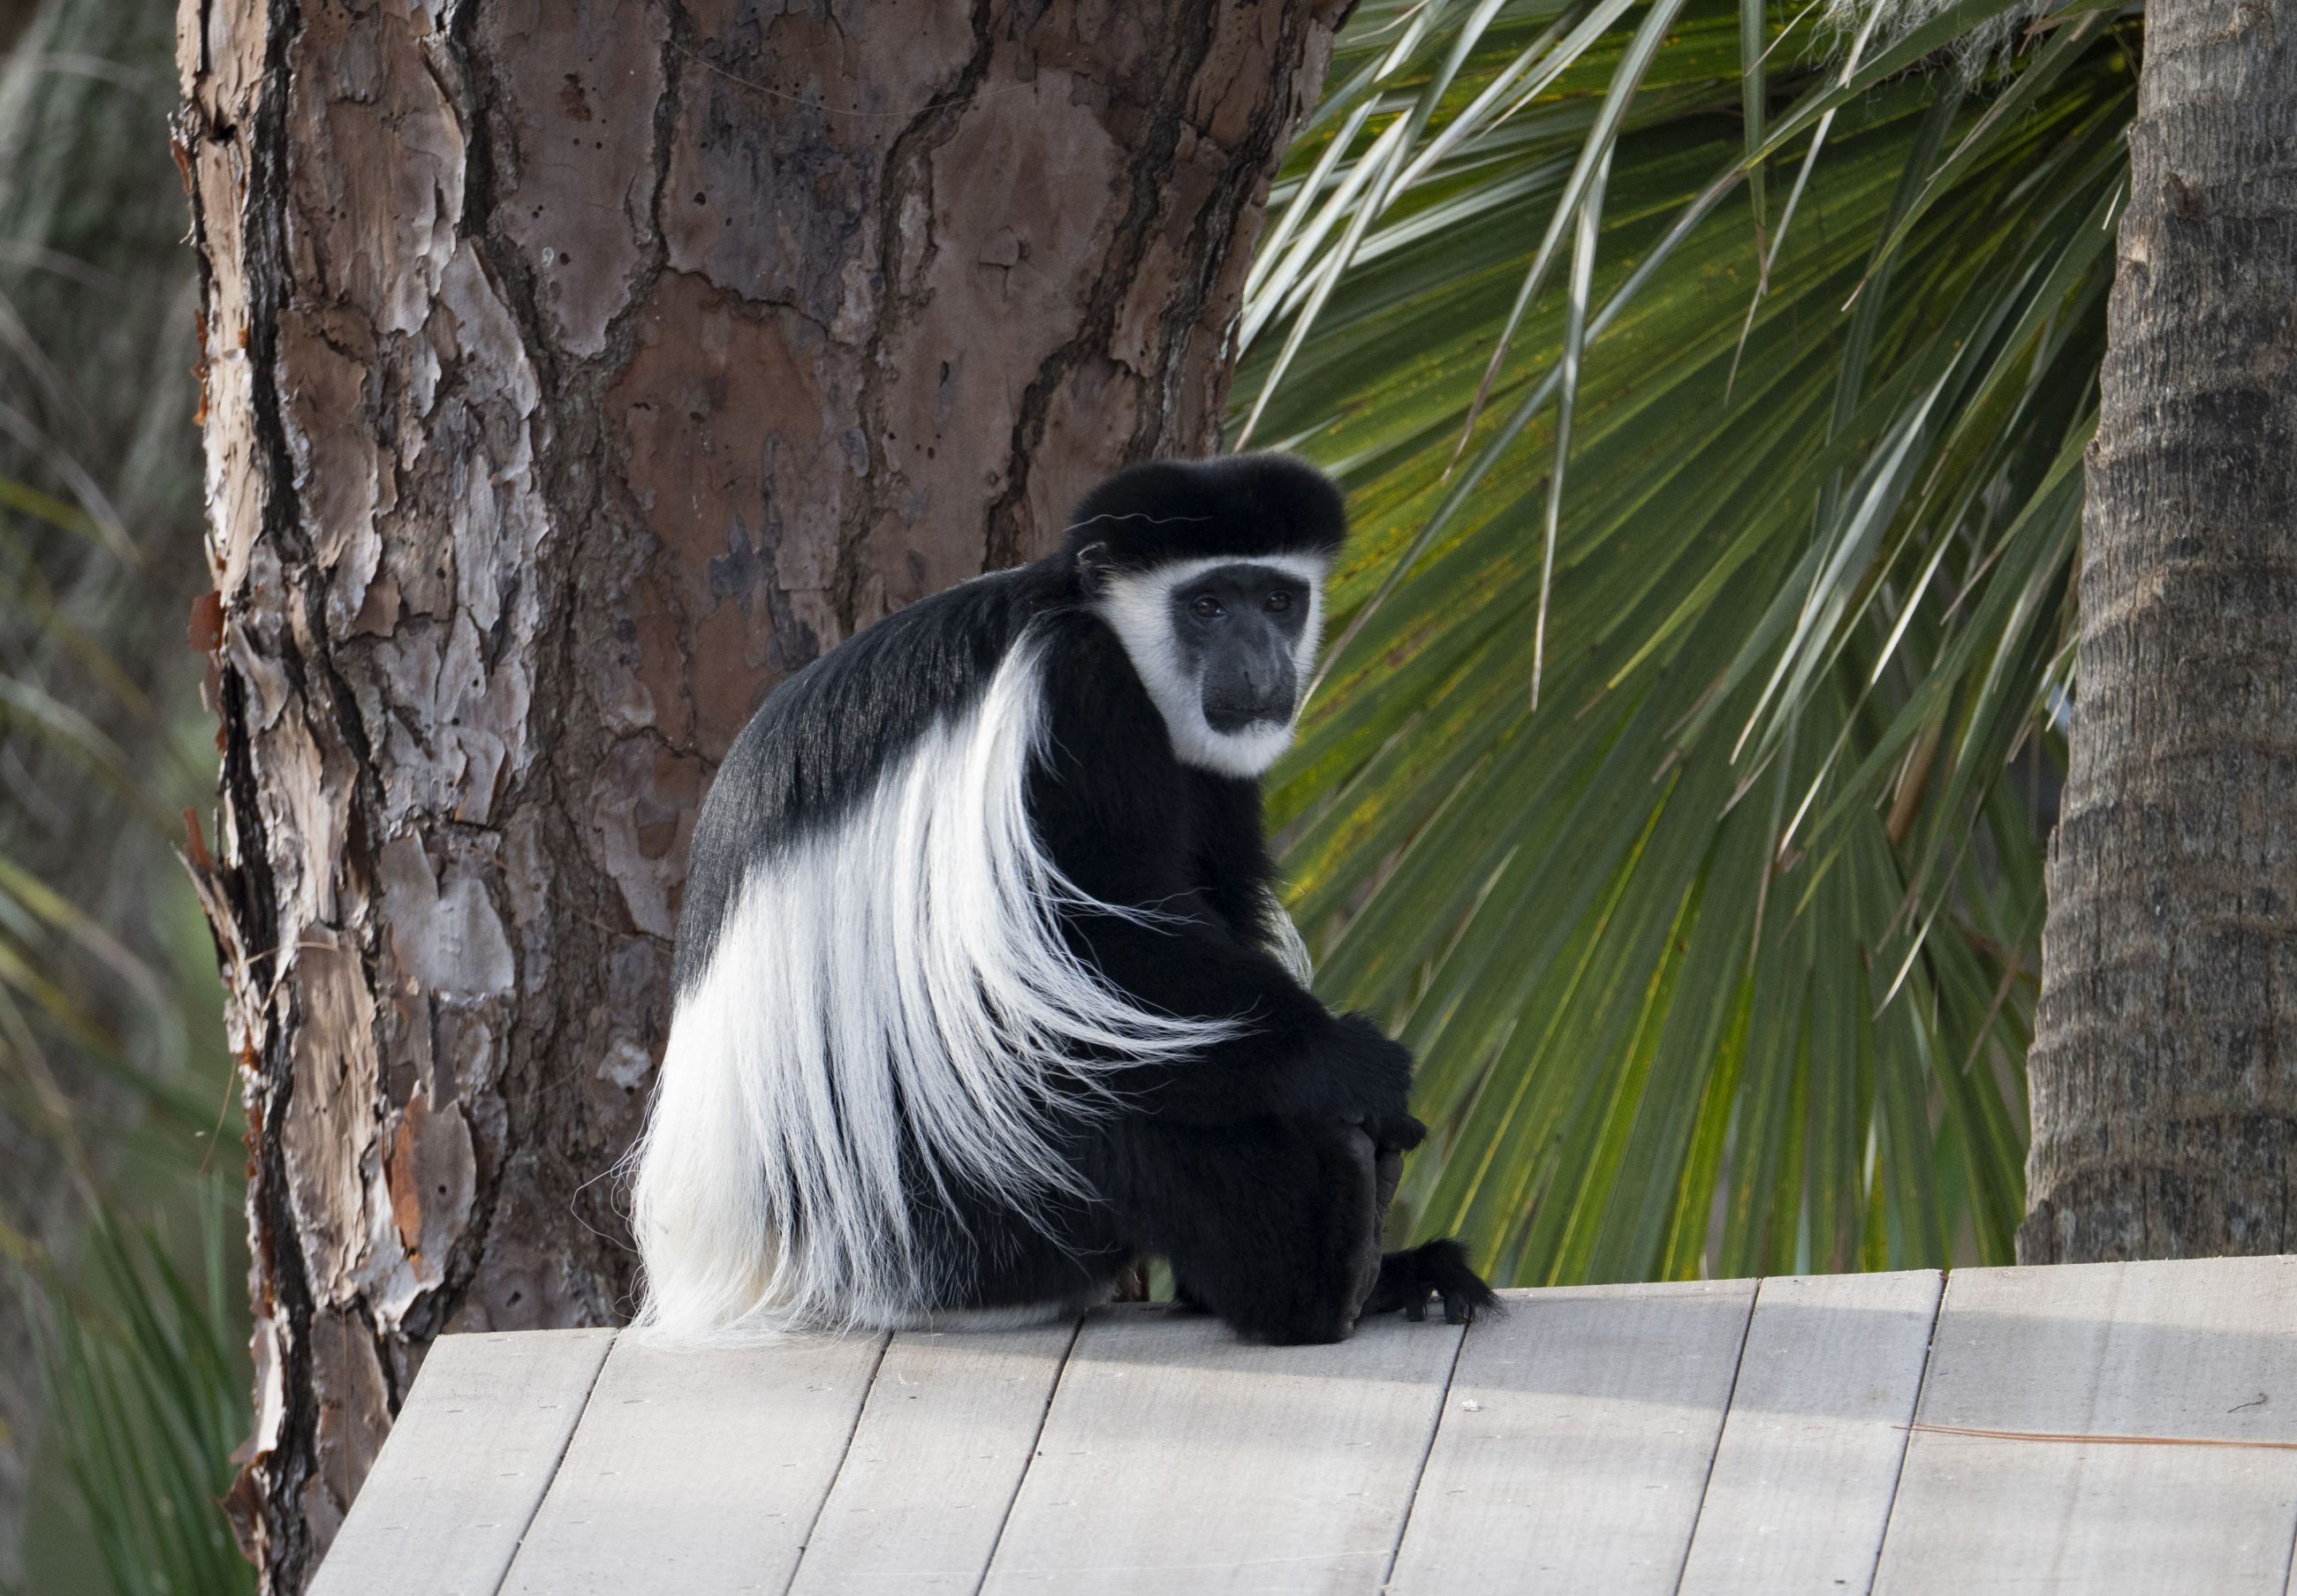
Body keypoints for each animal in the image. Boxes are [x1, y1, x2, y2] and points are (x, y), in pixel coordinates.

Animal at [628, 452, 1496, 1345]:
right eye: (1208, 604)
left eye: (1278, 600)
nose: (1261, 665)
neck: (1097, 619)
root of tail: (747, 1270)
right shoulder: (1074, 691)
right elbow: (1094, 943)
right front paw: (1354, 1065)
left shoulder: (1215, 764)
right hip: (943, 1217)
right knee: (1098, 1091)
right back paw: (1323, 1276)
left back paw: (1381, 1267)